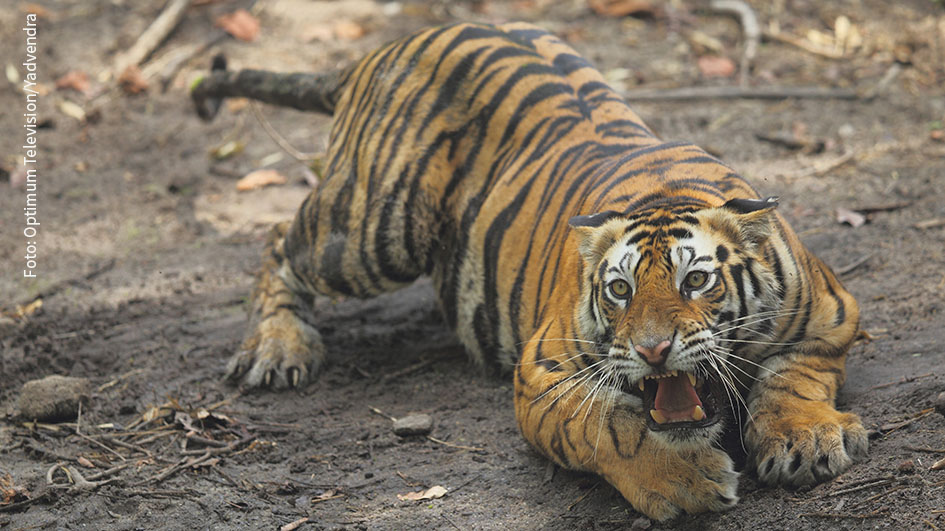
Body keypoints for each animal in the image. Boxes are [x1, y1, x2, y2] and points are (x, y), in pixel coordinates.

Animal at [191, 22, 868, 520]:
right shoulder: (541, 372)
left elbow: (794, 377)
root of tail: (387, 47)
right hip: (374, 228)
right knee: (277, 241)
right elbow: (607, 426)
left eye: (695, 281)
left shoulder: (832, 316)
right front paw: (682, 480)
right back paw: (278, 349)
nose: (652, 351)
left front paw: (805, 440)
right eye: (619, 290)